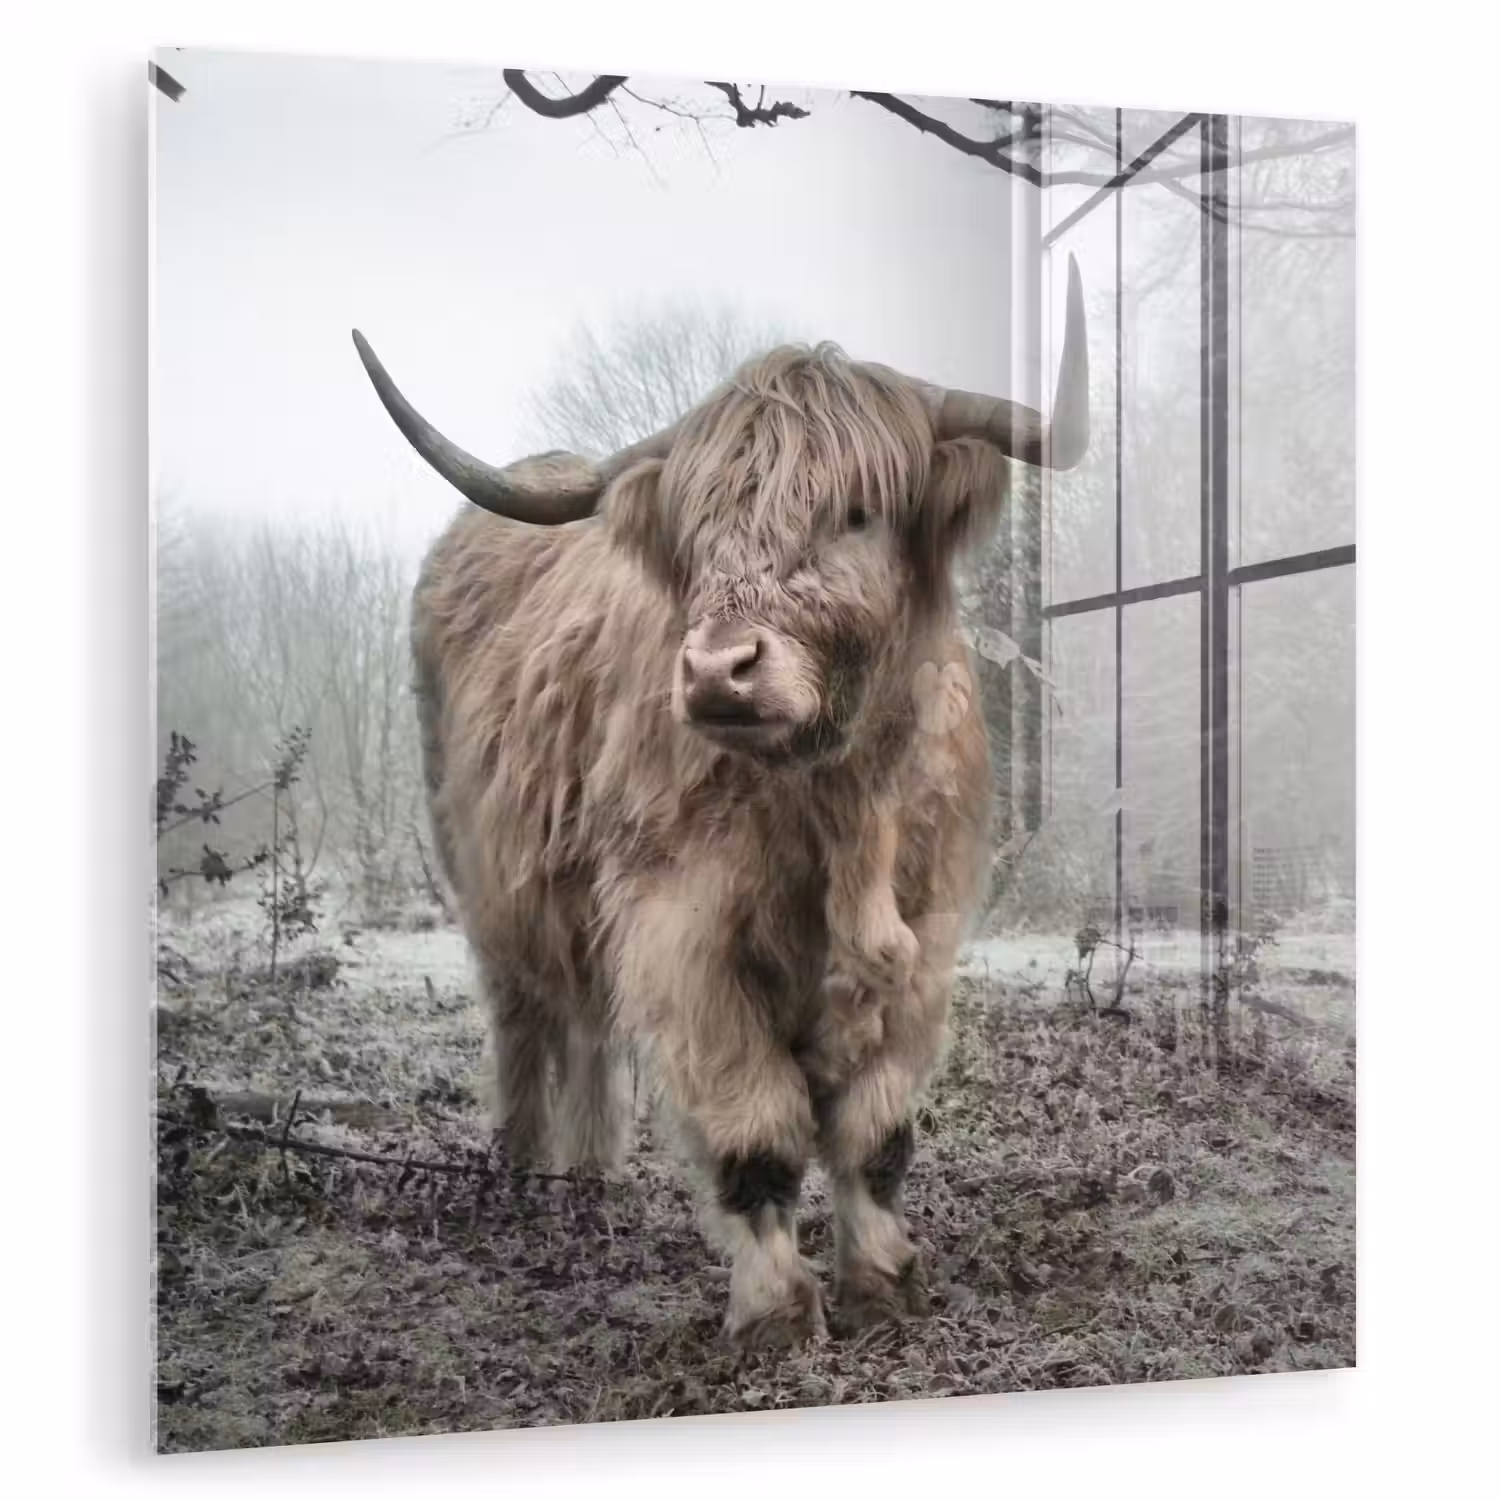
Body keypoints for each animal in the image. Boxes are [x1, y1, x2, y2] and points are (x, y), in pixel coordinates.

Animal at [351, 259, 1087, 1347]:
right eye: (698, 529)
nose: (716, 671)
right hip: (488, 880)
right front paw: (776, 1311)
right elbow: (757, 1129)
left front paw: (884, 1282)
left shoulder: (927, 936)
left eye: (858, 510)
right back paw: (527, 1175)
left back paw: (591, 1174)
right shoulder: (684, 933)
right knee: (526, 1017)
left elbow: (875, 1131)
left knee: (586, 1025)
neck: (837, 802)